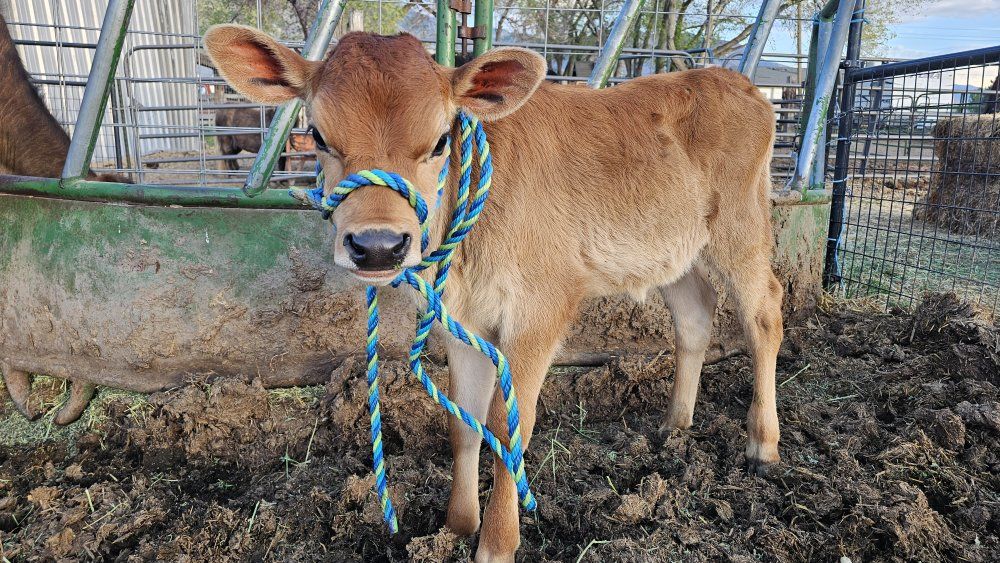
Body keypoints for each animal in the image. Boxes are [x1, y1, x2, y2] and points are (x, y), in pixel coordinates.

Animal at [205, 27, 783, 562]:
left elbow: (511, 427)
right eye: (318, 135)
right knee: (695, 316)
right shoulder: (461, 319)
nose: (377, 245)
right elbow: (464, 420)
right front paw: (457, 526)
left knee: (764, 315)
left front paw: (497, 543)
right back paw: (673, 428)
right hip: (673, 251)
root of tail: (733, 81)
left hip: (741, 228)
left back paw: (762, 444)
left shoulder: (539, 310)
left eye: (441, 140)